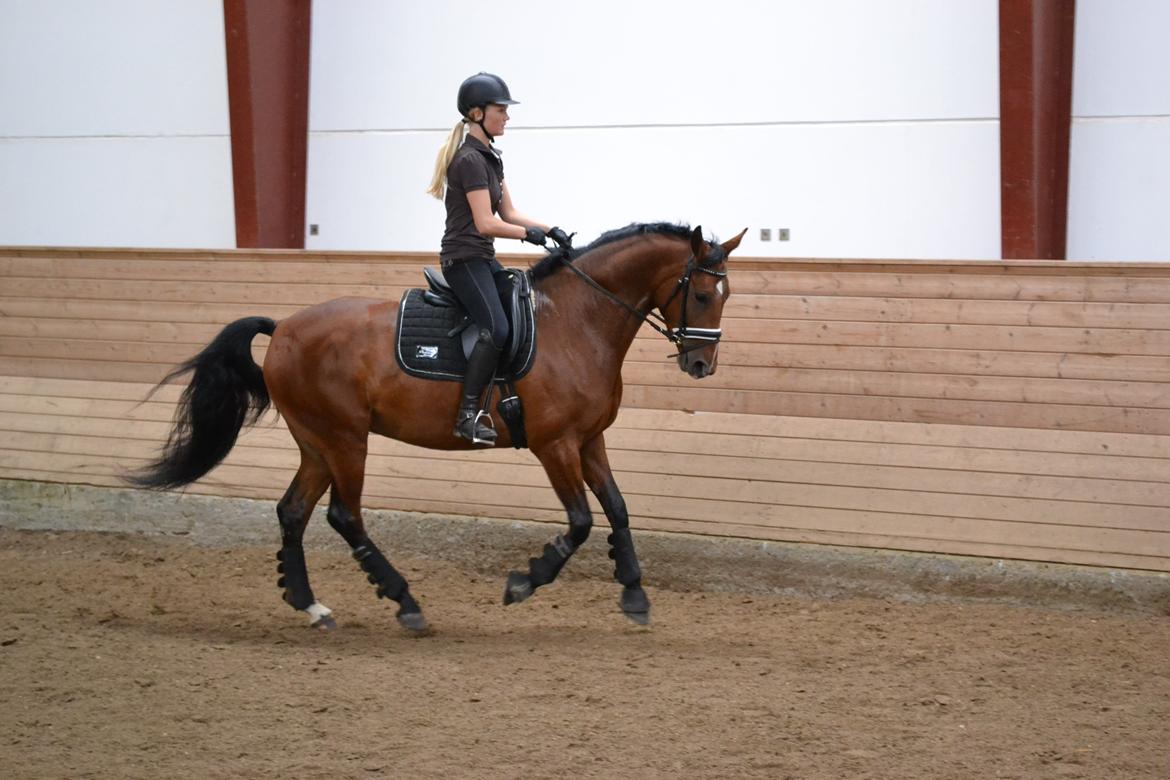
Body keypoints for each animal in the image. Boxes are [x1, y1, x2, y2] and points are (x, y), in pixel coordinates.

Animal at [130, 221, 748, 636]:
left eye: (725, 294)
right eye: (699, 293)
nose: (701, 364)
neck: (576, 321)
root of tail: (283, 328)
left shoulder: (589, 439)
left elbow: (618, 509)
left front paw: (636, 595)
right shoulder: (555, 445)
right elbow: (579, 522)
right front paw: (524, 582)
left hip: (316, 442)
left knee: (293, 512)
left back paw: (311, 605)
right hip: (344, 440)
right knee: (343, 516)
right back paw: (404, 602)